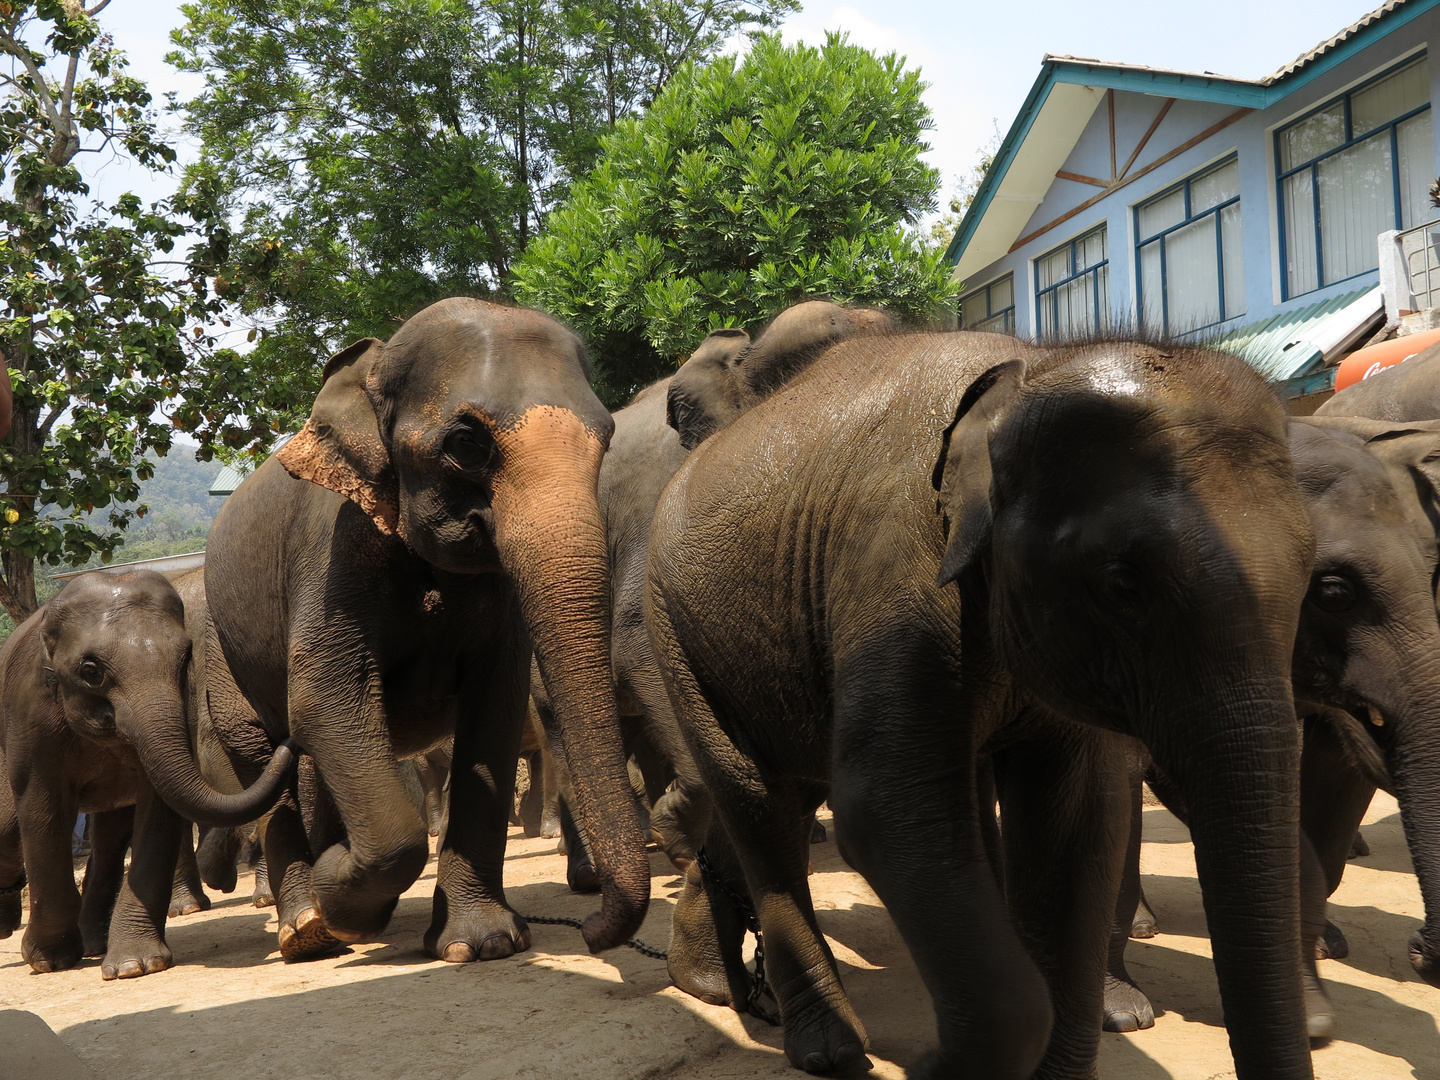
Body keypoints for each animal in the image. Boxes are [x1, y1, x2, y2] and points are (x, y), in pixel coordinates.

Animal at [0, 576, 295, 979]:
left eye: (185, 658)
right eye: (90, 671)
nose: (288, 741)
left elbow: (158, 811)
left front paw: (134, 966)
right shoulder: (30, 715)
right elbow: (43, 809)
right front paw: (48, 961)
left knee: (109, 840)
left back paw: (96, 943)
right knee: (10, 826)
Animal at [195, 296, 648, 961]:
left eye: (607, 435)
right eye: (466, 442)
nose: (590, 928)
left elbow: (495, 712)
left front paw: (480, 943)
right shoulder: (333, 548)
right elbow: (326, 699)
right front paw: (347, 906)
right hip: (222, 654)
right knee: (266, 756)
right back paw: (308, 931)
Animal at [648, 334, 1319, 1077]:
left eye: (1313, 575)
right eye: (1122, 583)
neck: (1025, 376)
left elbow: (1078, 819)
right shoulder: (894, 578)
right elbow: (883, 809)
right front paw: (940, 1065)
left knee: (794, 794)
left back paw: (718, 986)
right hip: (676, 634)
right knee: (755, 798)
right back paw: (824, 1046)